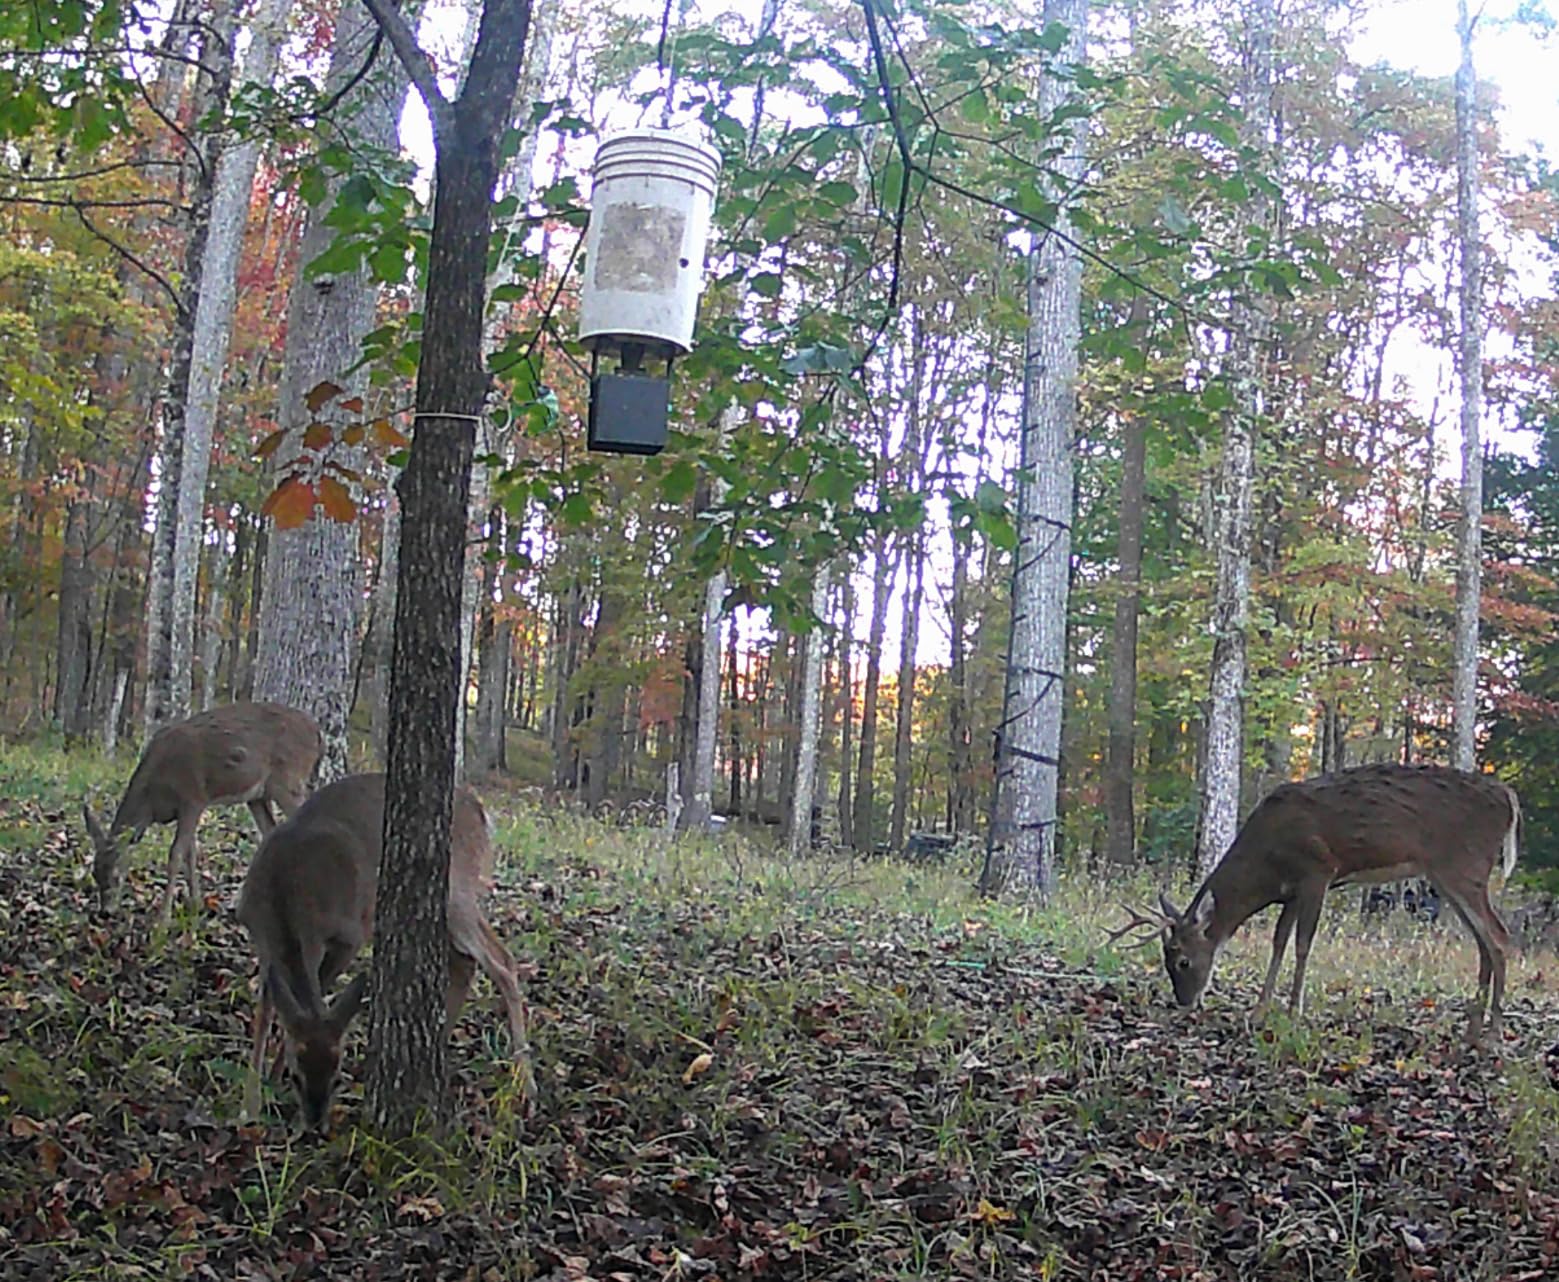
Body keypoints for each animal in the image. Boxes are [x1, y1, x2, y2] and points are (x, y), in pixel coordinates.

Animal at [83, 702, 323, 921]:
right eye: (94, 873)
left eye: (116, 875)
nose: (104, 913)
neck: (152, 799)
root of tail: (318, 733)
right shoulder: (187, 809)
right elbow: (191, 853)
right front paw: (195, 905)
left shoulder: (193, 798)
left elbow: (176, 854)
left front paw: (162, 919)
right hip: (258, 796)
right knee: (270, 832)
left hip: (288, 780)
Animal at [237, 772, 530, 1131]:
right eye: (297, 1077)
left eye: (337, 1077)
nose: (316, 1125)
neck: (283, 897)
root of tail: (481, 812)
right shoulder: (259, 934)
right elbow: (268, 1007)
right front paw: (254, 1099)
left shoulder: (349, 934)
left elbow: (316, 992)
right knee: (466, 963)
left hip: (456, 890)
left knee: (502, 962)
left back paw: (526, 1086)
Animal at [1111, 763, 1521, 1045]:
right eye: (1165, 960)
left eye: (1182, 960)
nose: (1184, 1002)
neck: (1266, 861)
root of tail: (1508, 798)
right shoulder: (1291, 890)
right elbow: (1278, 942)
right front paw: (1258, 1012)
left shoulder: (1317, 871)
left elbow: (1303, 944)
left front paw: (1293, 1012)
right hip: (1448, 875)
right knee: (1484, 943)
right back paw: (1472, 1030)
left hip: (1464, 866)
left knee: (1499, 937)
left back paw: (1493, 1034)